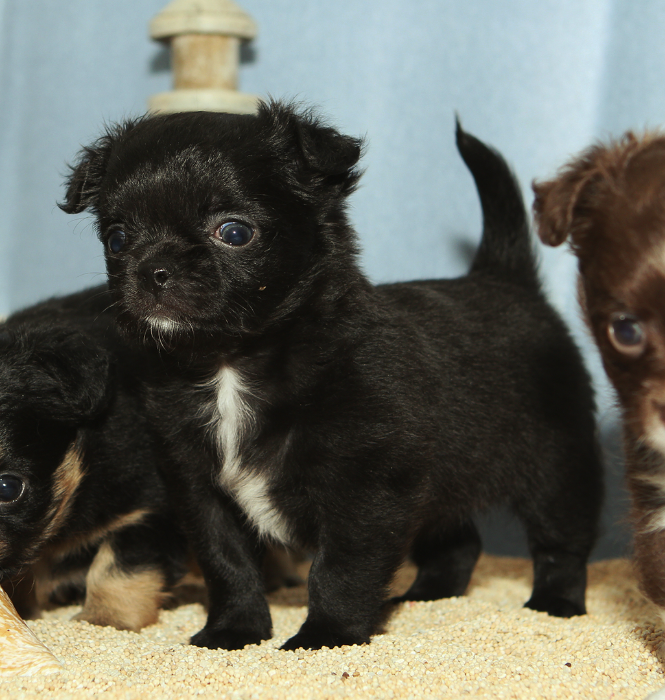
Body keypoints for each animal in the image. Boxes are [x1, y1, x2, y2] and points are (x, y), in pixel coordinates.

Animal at [60, 101, 603, 651]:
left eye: (234, 232)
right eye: (117, 239)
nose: (153, 270)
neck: (230, 365)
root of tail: (504, 277)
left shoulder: (364, 492)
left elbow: (340, 569)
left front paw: (325, 636)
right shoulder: (200, 491)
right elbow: (228, 564)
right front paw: (234, 631)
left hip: (557, 471)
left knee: (561, 546)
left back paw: (554, 605)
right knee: (459, 543)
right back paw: (427, 596)